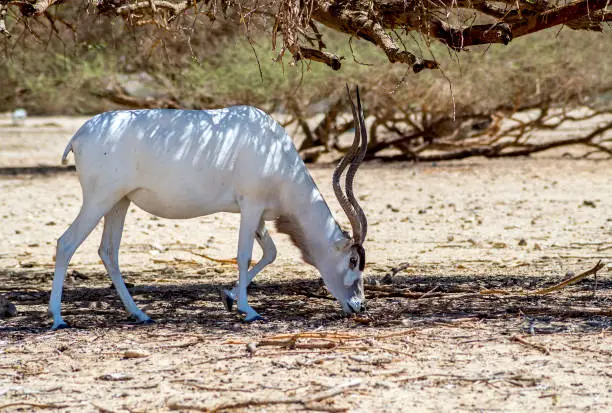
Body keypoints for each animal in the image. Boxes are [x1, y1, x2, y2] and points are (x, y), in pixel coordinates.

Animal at [50, 86, 368, 328]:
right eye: (353, 260)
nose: (359, 306)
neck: (275, 152)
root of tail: (79, 135)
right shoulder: (251, 205)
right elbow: (244, 255)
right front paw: (248, 310)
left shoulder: (258, 215)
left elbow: (270, 253)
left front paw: (229, 297)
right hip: (99, 199)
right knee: (66, 243)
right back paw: (58, 318)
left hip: (120, 201)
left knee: (108, 251)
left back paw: (140, 314)